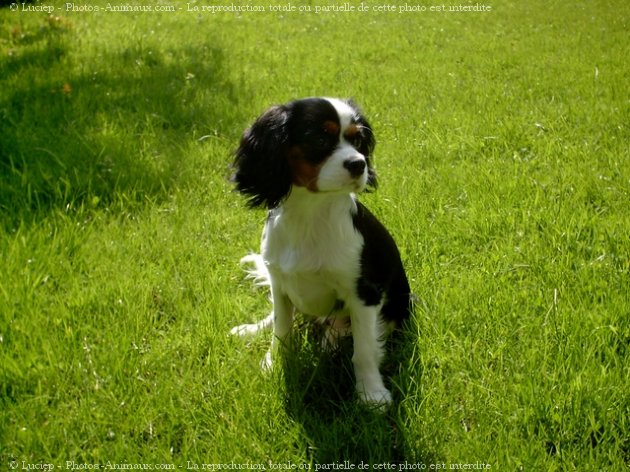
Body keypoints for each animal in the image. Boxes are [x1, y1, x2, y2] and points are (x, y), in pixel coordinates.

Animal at [230, 97, 412, 408]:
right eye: (319, 139)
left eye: (358, 139)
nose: (359, 164)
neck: (311, 212)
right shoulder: (280, 283)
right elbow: (281, 330)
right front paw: (274, 364)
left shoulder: (364, 292)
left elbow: (364, 350)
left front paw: (371, 394)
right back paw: (254, 328)